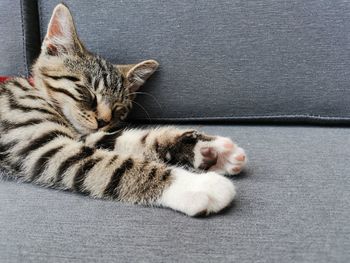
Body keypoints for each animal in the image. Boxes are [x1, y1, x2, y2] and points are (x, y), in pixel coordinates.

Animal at [0, 4, 246, 218]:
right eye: (88, 93)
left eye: (119, 109)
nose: (103, 120)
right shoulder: (38, 144)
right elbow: (118, 165)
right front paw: (197, 185)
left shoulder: (88, 135)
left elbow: (132, 139)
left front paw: (209, 150)